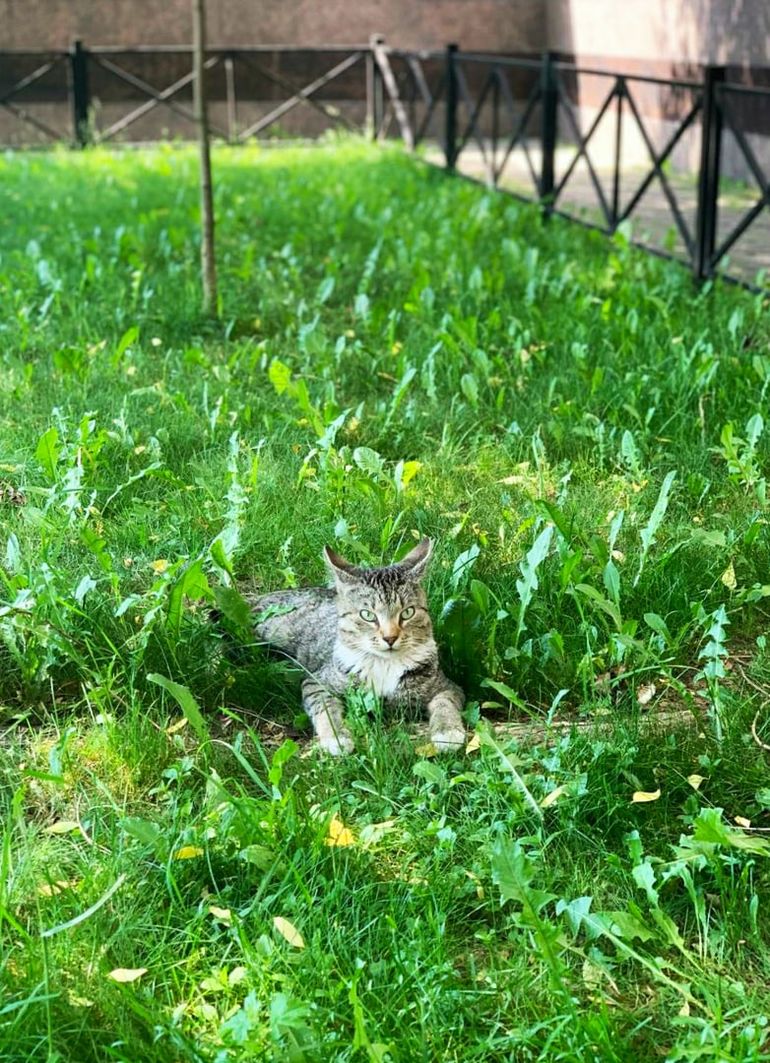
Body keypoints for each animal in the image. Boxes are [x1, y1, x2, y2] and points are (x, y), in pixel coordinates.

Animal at [246, 540, 465, 756]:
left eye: (407, 612)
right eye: (367, 615)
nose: (390, 637)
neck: (385, 665)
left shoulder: (447, 685)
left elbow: (445, 702)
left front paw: (448, 731)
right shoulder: (317, 681)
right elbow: (325, 706)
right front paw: (336, 737)